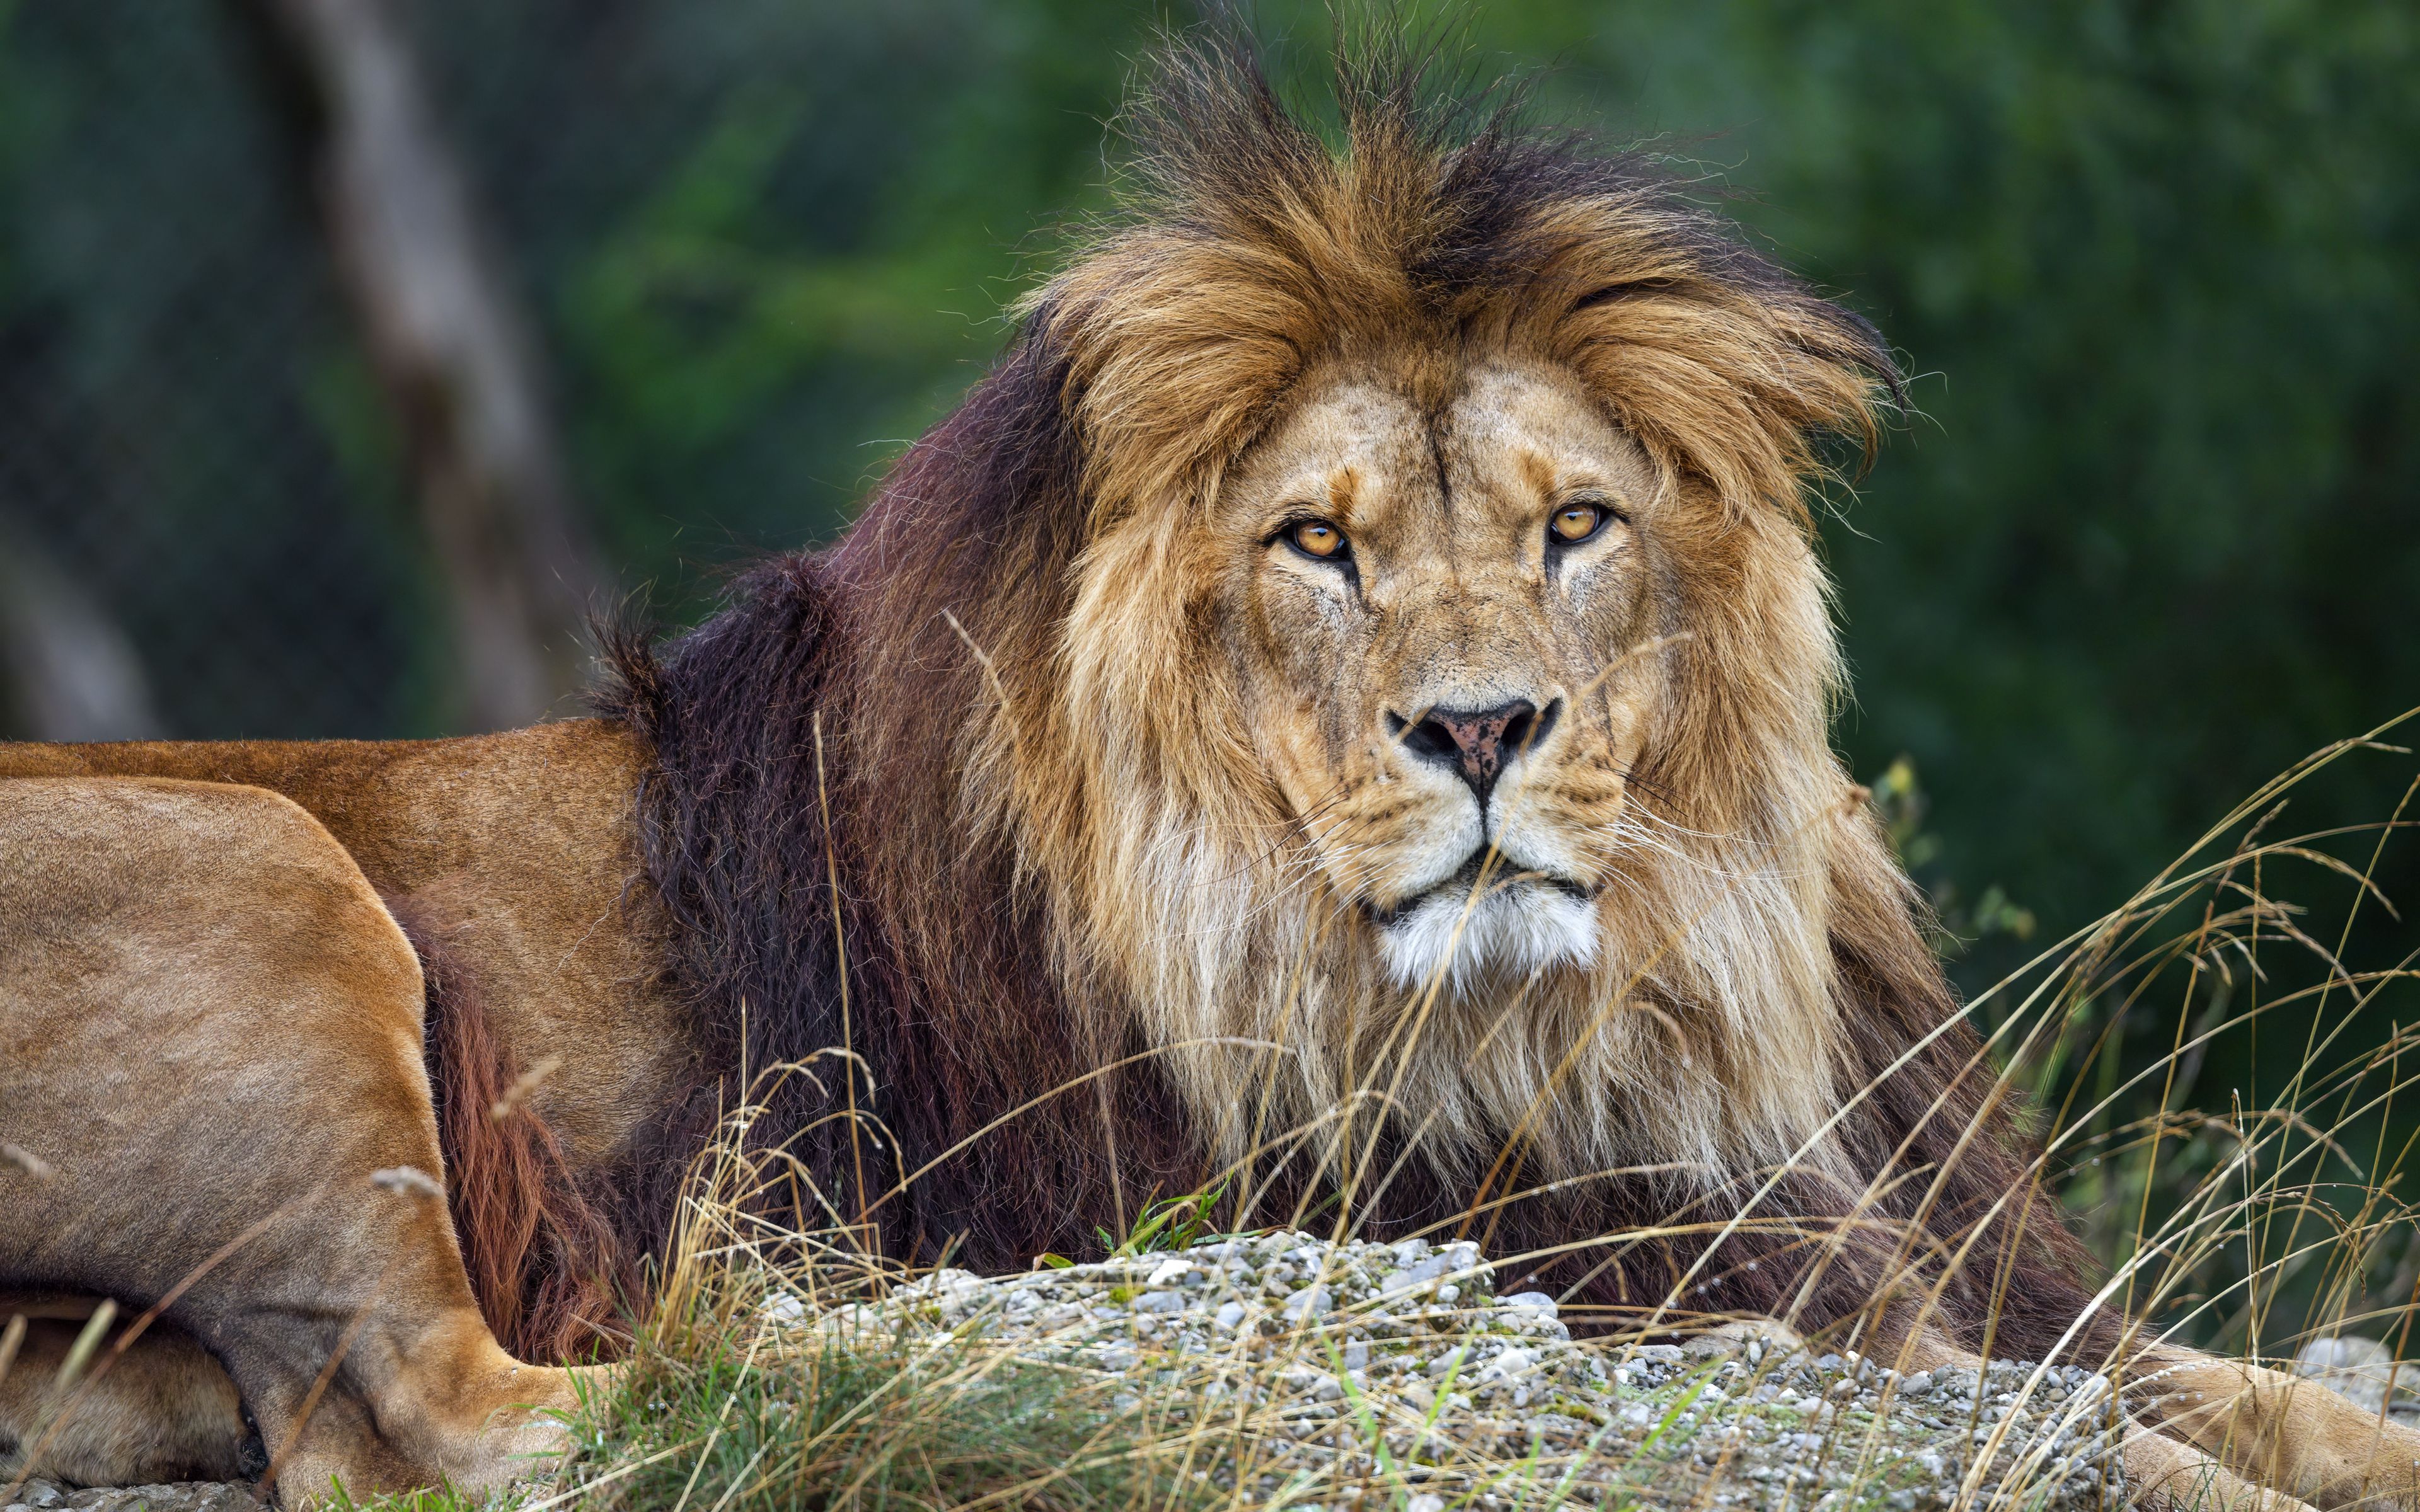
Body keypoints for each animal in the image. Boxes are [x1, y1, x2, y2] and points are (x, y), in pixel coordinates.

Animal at [4, 29, 2420, 1499]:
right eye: (1316, 545)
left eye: (1575, 525)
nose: (1480, 730)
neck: (1601, 1012)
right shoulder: (1643, 1270)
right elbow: (2120, 1456)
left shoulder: (1925, 1271)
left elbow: (2235, 1395)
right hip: (258, 860)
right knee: (442, 1416)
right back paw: (970, 1351)